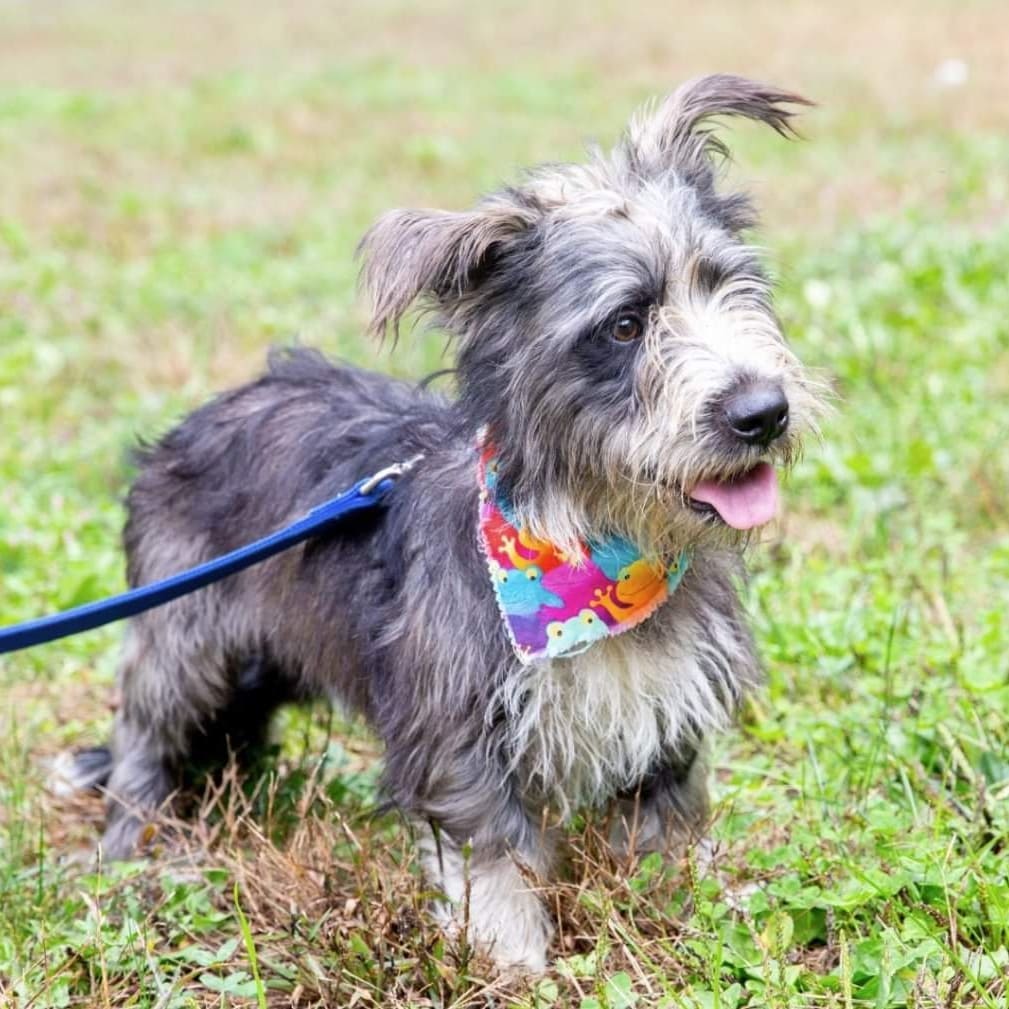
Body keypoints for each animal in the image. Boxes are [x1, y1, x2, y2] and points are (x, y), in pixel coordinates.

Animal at [71, 74, 823, 972]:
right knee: (144, 737)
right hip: (181, 637)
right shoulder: (453, 733)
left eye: (725, 283)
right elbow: (492, 861)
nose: (762, 411)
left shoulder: (665, 718)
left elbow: (667, 835)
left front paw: (695, 921)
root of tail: (190, 425)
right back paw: (135, 849)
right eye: (624, 324)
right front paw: (517, 965)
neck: (591, 544)